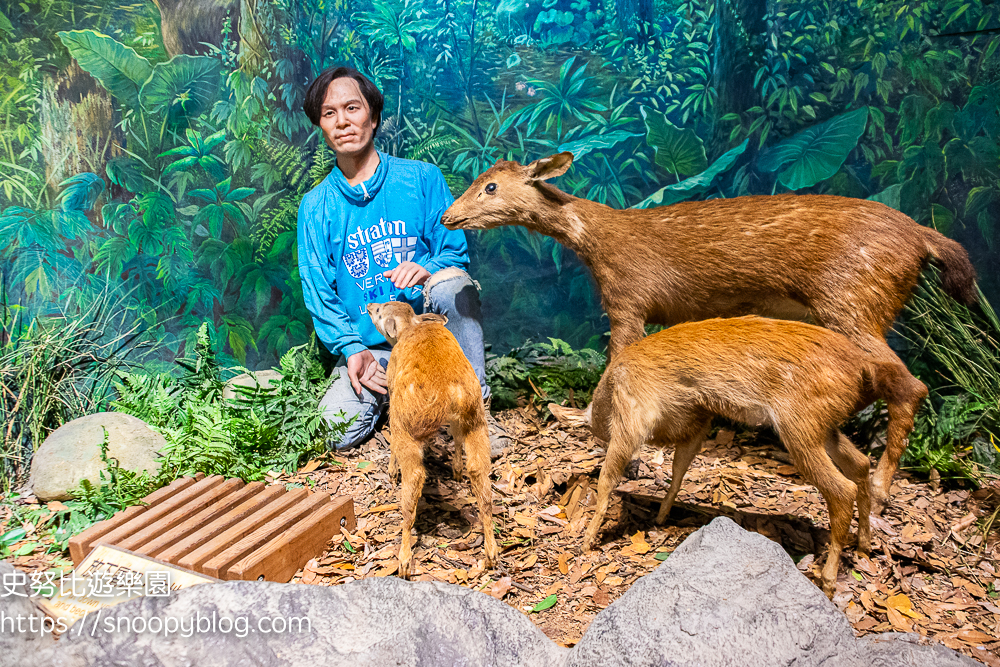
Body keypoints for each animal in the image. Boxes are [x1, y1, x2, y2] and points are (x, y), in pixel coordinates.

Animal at [366, 302, 498, 580]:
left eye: (380, 312)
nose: (370, 306)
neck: (411, 327)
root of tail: (447, 391)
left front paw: (391, 471)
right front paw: (455, 469)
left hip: (406, 426)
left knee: (414, 480)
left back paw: (404, 562)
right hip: (475, 419)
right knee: (480, 478)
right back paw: (491, 554)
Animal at [444, 153, 976, 516]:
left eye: (490, 186)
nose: (450, 215)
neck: (598, 242)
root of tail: (926, 239)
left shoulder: (629, 299)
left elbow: (616, 366)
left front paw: (601, 437)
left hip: (853, 300)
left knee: (911, 383)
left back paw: (884, 487)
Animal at [584, 318, 924, 600]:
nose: (594, 426)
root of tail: (865, 368)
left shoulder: (634, 416)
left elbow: (607, 478)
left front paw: (587, 538)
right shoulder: (698, 422)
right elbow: (679, 470)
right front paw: (661, 516)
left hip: (799, 430)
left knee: (842, 491)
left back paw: (827, 581)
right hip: (822, 429)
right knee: (861, 465)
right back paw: (864, 545)